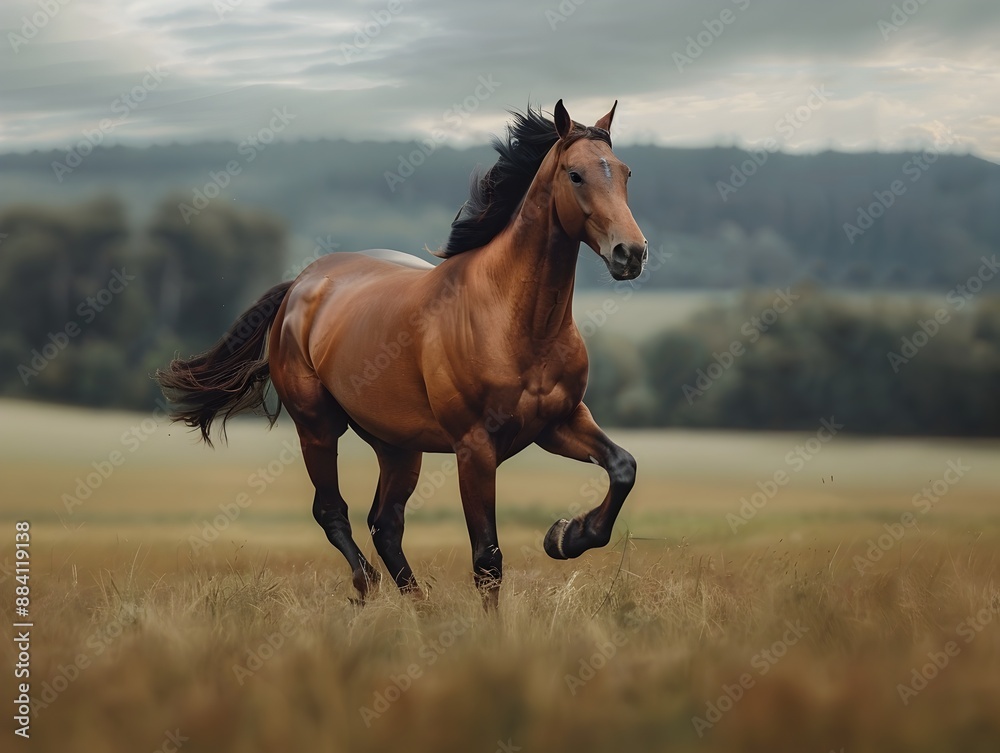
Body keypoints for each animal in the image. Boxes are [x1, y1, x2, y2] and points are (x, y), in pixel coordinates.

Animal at [157, 100, 648, 608]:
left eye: (626, 172)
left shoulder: (558, 423)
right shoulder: (475, 447)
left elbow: (623, 467)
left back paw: (422, 610)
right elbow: (487, 559)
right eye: (576, 175)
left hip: (397, 446)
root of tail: (302, 284)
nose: (630, 253)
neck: (519, 321)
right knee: (333, 511)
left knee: (385, 523)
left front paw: (566, 535)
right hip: (318, 426)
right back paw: (366, 585)